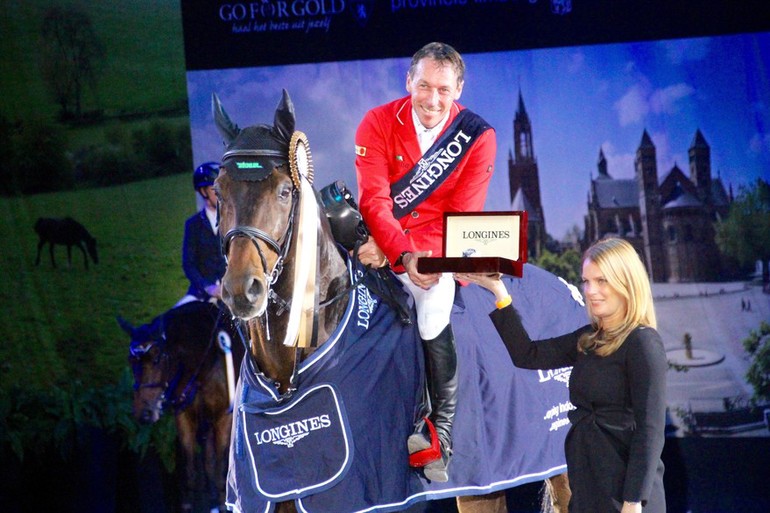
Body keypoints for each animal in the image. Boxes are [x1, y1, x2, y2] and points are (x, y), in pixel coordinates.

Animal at [119, 300, 243, 512]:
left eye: (157, 358)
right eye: (131, 360)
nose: (144, 413)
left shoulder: (224, 417)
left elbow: (222, 465)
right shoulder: (184, 417)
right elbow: (192, 471)